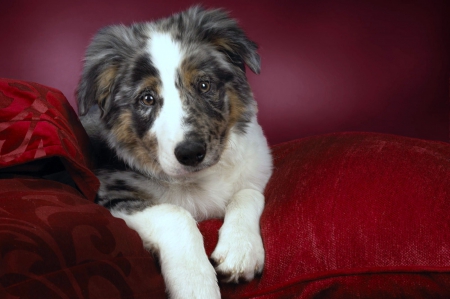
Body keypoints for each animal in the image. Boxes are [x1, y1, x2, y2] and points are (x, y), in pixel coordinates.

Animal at [76, 5, 270, 298]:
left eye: (204, 85)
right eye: (147, 98)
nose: (191, 153)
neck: (196, 179)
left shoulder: (257, 167)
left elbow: (249, 194)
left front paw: (240, 250)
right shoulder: (112, 197)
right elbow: (175, 214)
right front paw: (197, 286)